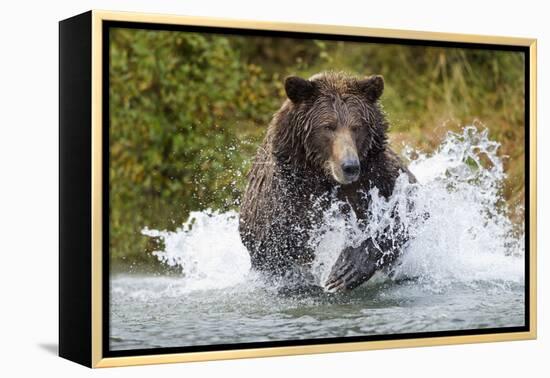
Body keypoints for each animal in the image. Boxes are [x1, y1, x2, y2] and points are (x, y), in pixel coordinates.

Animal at [239, 72, 416, 294]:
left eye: (356, 127)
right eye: (328, 126)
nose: (350, 166)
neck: (324, 176)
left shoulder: (379, 177)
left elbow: (404, 214)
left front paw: (345, 270)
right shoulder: (285, 198)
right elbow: (284, 244)